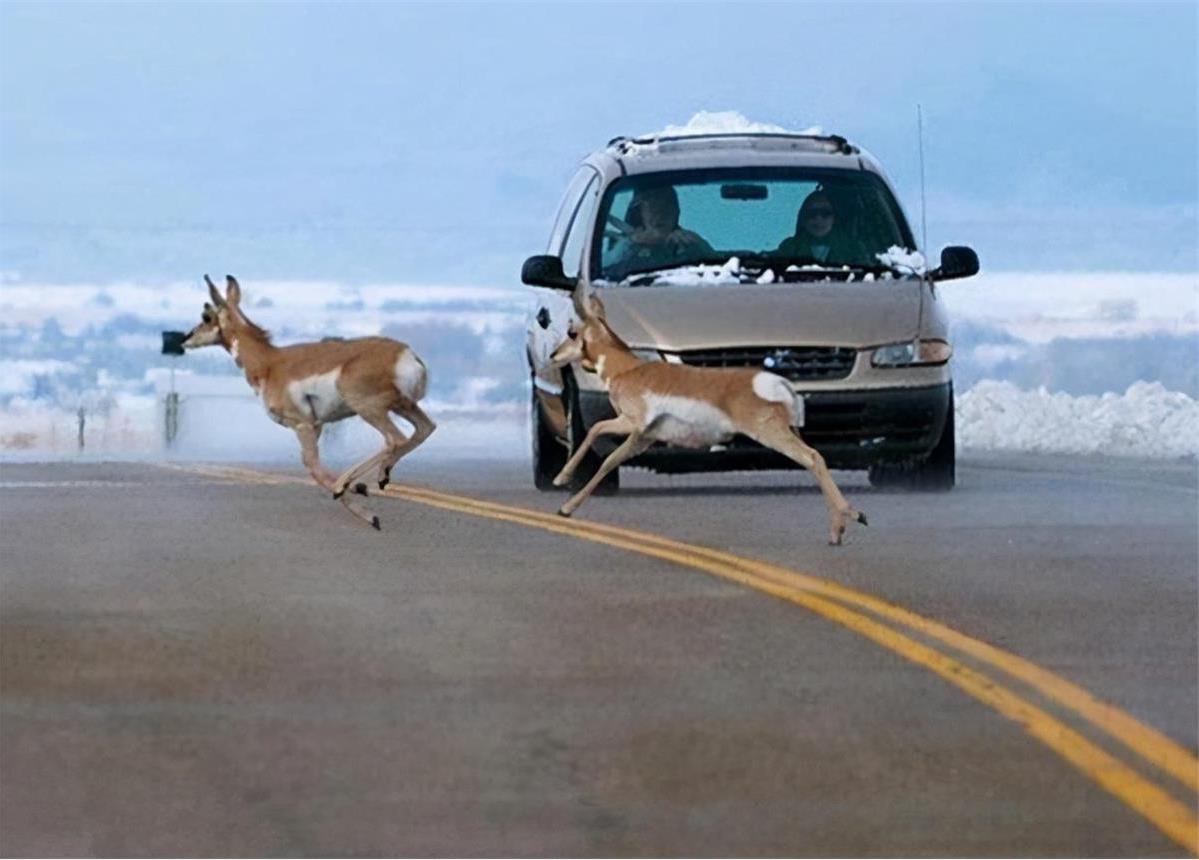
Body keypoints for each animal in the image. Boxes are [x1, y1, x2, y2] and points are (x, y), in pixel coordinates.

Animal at [182, 274, 436, 530]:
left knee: (395, 439)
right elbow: (311, 464)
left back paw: (347, 485)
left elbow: (312, 466)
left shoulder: (302, 424)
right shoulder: (317, 425)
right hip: (402, 406)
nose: (185, 338)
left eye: (206, 316)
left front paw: (365, 509)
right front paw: (358, 488)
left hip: (369, 408)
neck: (269, 363)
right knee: (424, 429)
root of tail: (406, 354)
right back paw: (379, 477)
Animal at [549, 286, 868, 544]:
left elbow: (598, 436)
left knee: (812, 457)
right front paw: (565, 498)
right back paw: (846, 523)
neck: (627, 369)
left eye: (572, 333)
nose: (553, 355)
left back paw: (845, 521)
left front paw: (562, 492)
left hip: (770, 433)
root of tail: (779, 383)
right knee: (815, 459)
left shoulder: (632, 424)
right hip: (785, 431)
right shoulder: (644, 438)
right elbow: (609, 454)